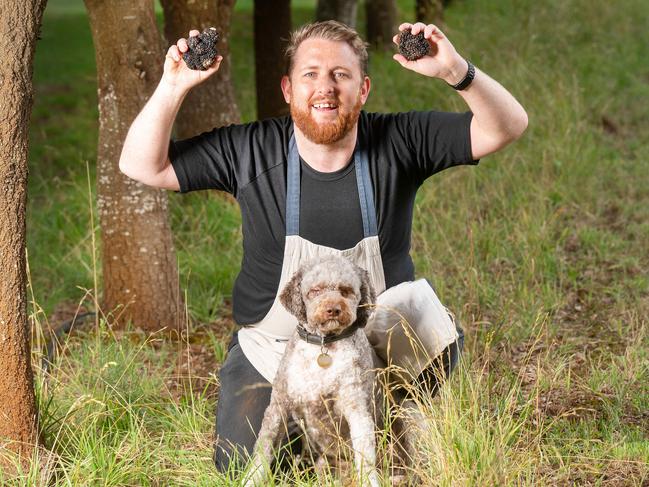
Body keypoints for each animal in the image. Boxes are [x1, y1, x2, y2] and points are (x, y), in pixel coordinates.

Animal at [246, 255, 382, 487]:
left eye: (346, 291)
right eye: (315, 290)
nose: (333, 309)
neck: (323, 346)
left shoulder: (357, 408)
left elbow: (365, 457)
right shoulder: (279, 405)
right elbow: (263, 448)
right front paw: (251, 479)